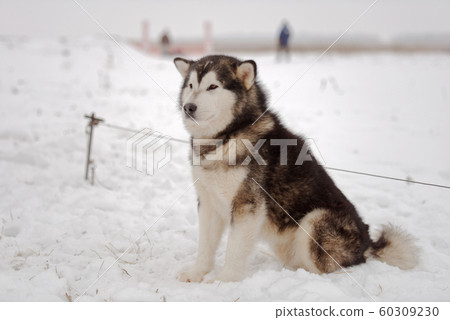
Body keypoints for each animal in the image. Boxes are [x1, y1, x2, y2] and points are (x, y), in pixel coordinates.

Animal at [173, 55, 418, 282]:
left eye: (213, 86)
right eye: (191, 85)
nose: (188, 107)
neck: (227, 137)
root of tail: (368, 244)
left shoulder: (247, 206)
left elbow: (234, 249)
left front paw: (224, 280)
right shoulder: (208, 203)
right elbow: (205, 246)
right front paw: (196, 273)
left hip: (315, 221)